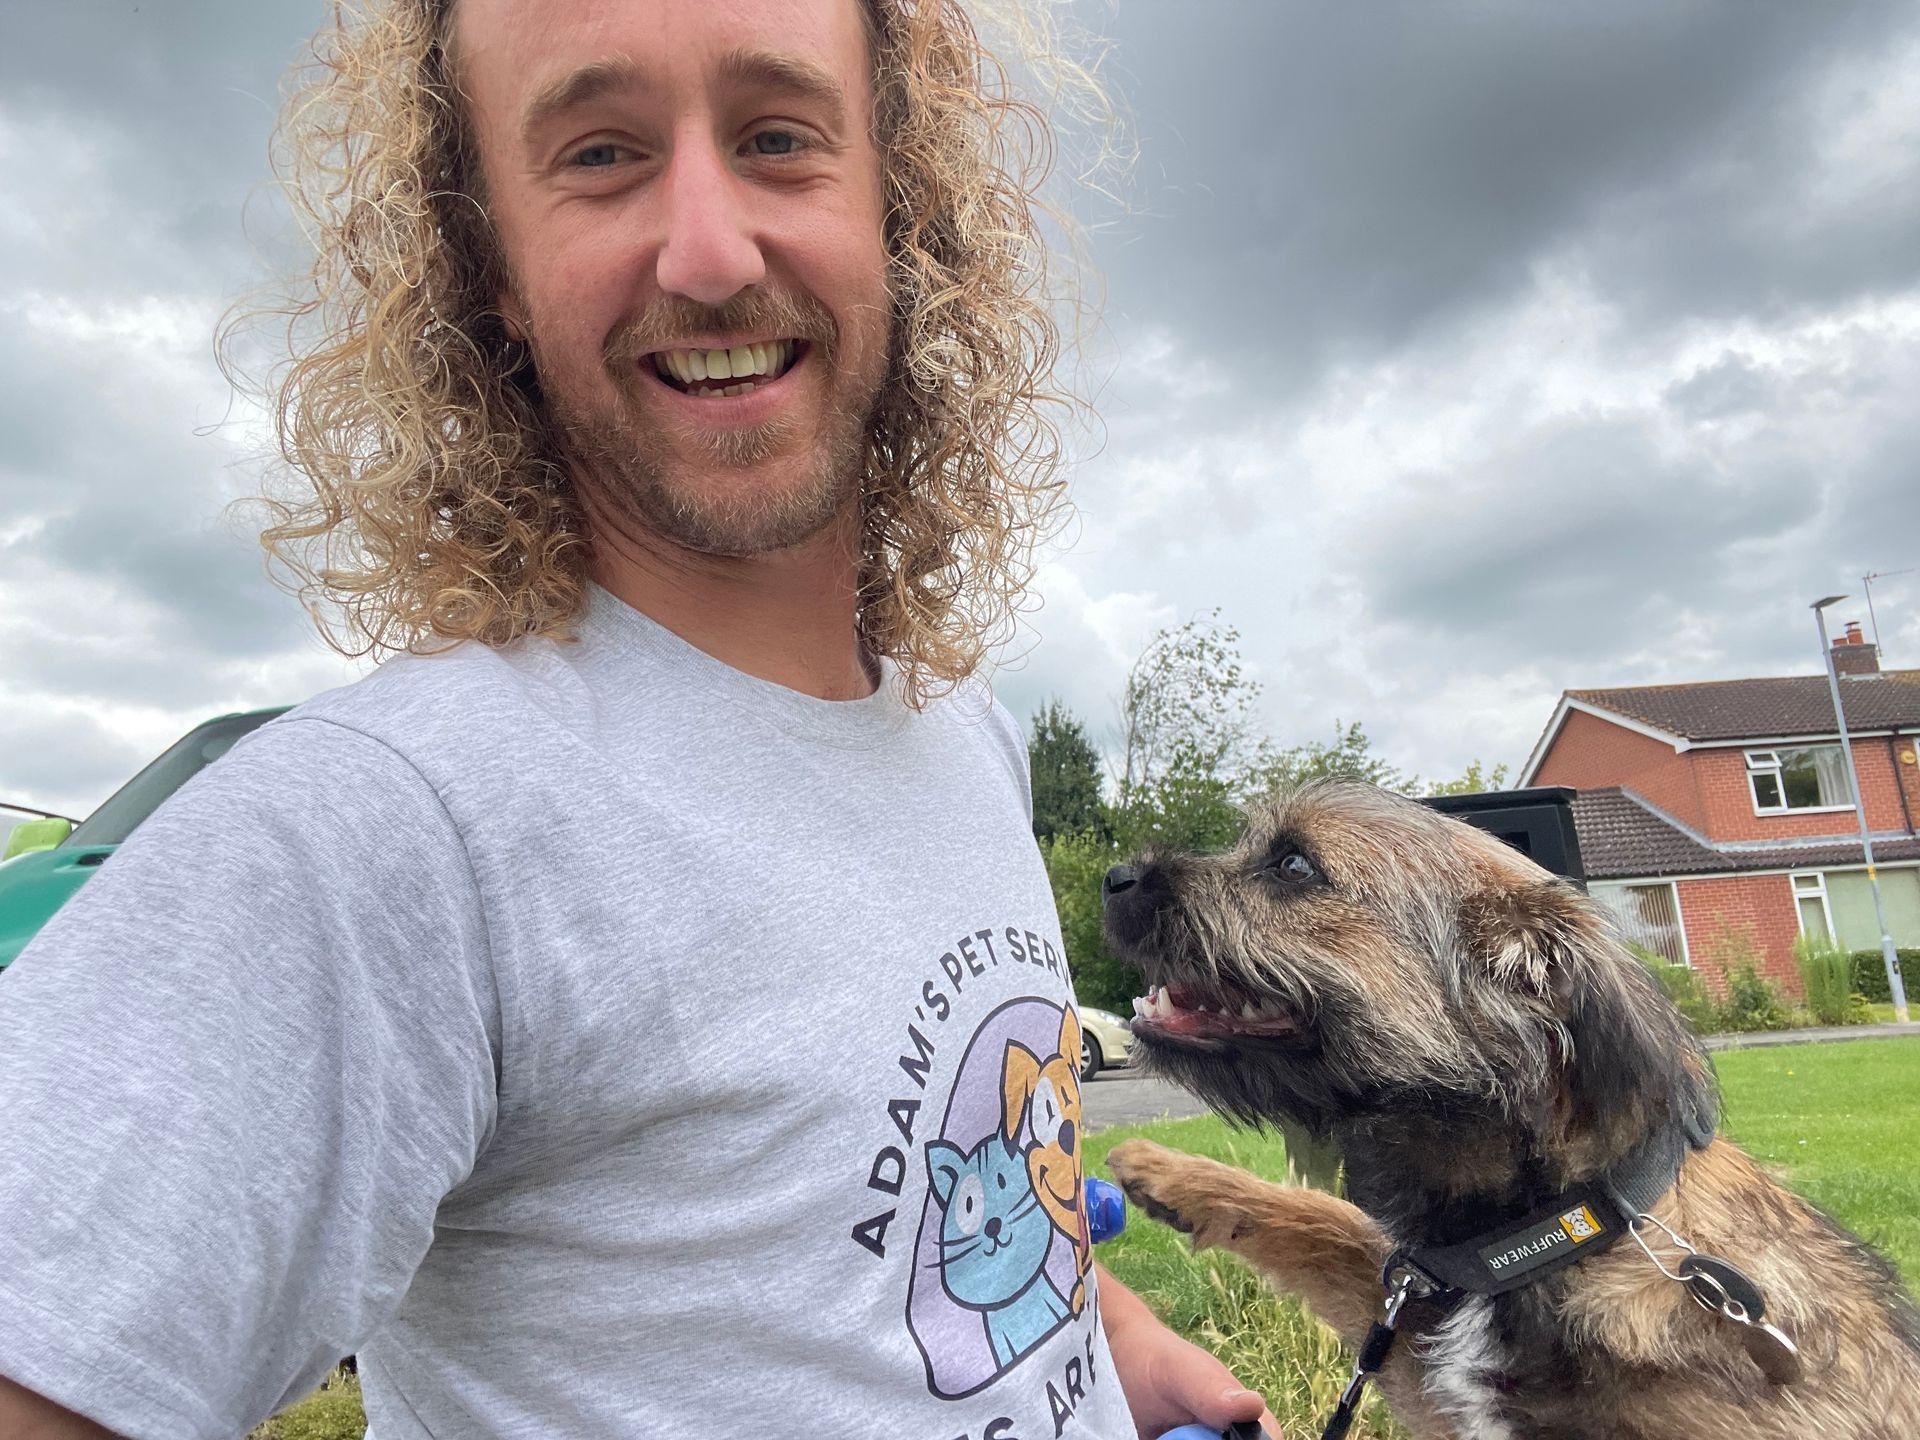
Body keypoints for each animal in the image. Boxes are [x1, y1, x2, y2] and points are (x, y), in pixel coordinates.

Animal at [1098, 783, 1920, 1440]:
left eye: (1294, 866)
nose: (1115, 877)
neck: (1568, 1223)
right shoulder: (1431, 1368)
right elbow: (1328, 1222)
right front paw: (1171, 1172)